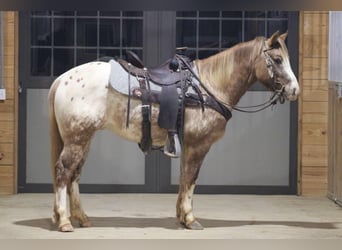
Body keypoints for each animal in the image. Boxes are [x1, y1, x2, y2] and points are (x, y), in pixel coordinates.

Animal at [48, 31, 300, 232]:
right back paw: (64, 221)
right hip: (77, 140)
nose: (295, 90)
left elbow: (184, 178)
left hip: (84, 139)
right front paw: (190, 218)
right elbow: (191, 178)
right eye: (278, 59)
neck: (207, 87)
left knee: (75, 175)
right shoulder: (199, 145)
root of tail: (61, 79)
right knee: (63, 171)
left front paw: (181, 216)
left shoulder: (187, 145)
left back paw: (81, 218)